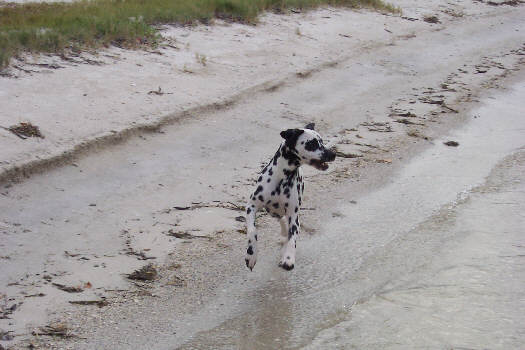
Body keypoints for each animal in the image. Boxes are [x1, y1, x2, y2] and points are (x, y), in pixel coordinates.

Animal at [243, 123, 334, 270]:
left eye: (322, 141)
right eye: (312, 143)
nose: (333, 154)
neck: (282, 178)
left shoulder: (294, 216)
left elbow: (293, 238)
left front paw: (288, 258)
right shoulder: (251, 206)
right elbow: (252, 230)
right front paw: (251, 255)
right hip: (271, 211)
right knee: (281, 219)